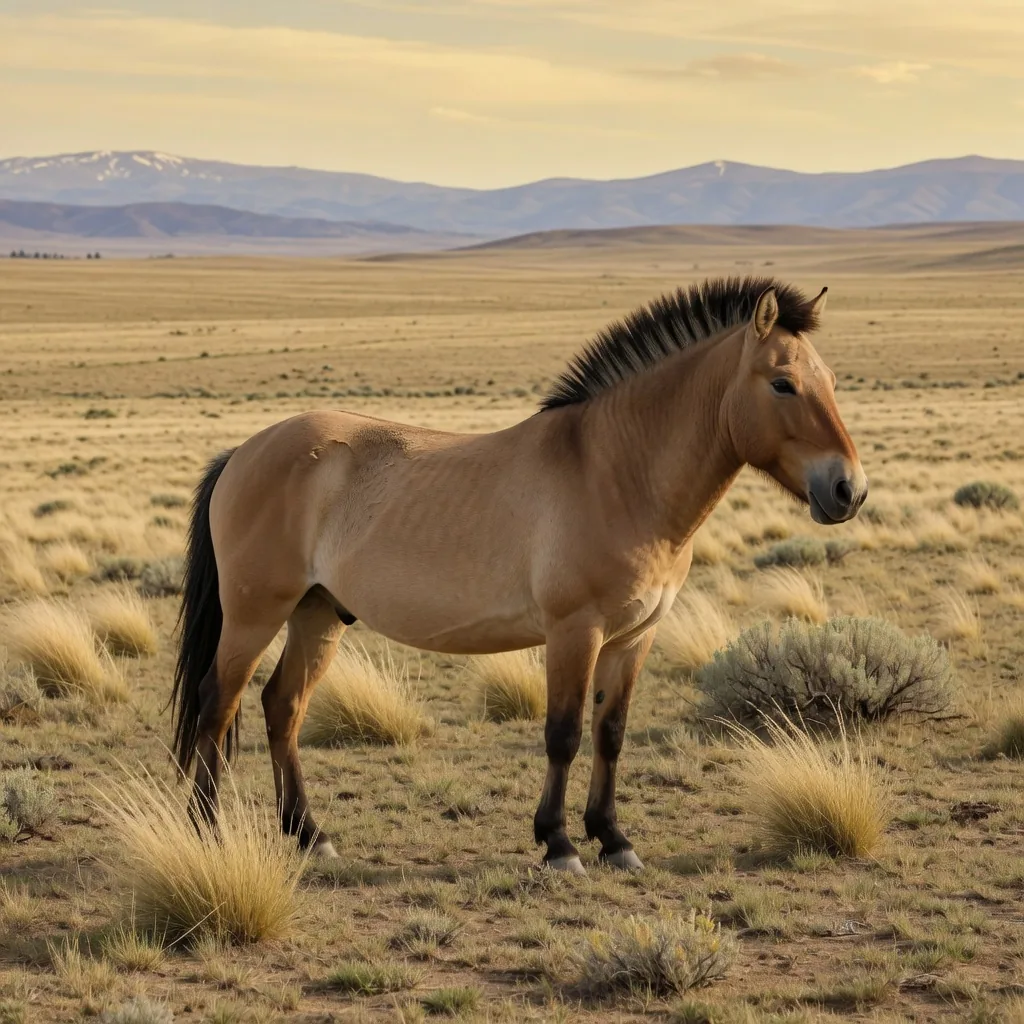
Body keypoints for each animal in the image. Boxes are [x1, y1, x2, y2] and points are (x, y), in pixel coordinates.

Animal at [172, 276, 868, 874]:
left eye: (832, 380)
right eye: (783, 384)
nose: (849, 490)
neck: (615, 472)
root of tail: (245, 451)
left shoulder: (633, 637)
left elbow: (611, 734)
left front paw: (614, 839)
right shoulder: (574, 633)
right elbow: (563, 734)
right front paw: (559, 843)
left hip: (317, 614)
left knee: (282, 706)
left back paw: (309, 835)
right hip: (255, 614)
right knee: (217, 702)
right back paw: (207, 828)